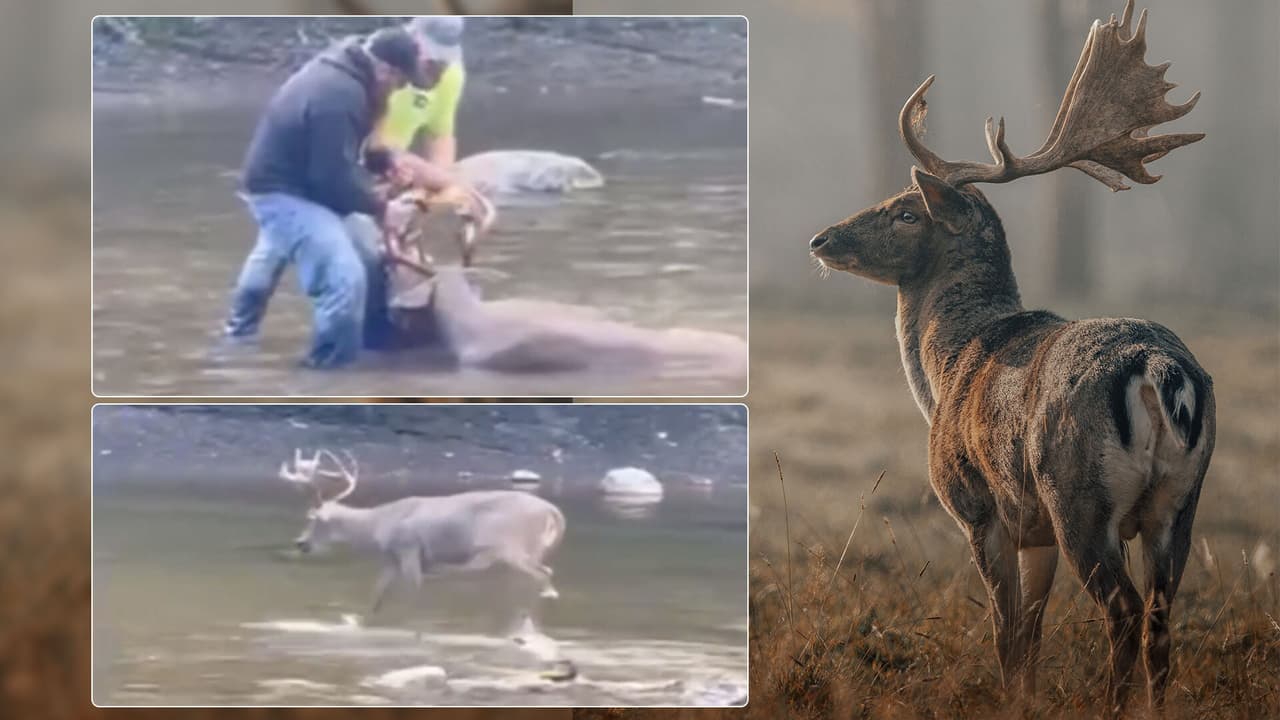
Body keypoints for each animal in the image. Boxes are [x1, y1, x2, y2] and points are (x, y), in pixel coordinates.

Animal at [277, 448, 566, 620]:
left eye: (313, 519)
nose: (300, 542)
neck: (380, 524)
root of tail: (553, 512)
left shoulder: (409, 551)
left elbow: (412, 598)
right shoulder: (391, 560)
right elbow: (375, 598)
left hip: (513, 547)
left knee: (543, 575)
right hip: (527, 552)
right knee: (542, 575)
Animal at [807, 2, 1214, 714]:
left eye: (907, 211)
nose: (822, 239)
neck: (947, 369)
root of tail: (1161, 371)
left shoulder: (981, 507)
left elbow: (1004, 631)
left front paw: (1008, 699)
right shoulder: (1036, 531)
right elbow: (1031, 631)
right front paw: (1024, 697)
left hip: (1078, 495)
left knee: (1124, 611)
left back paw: (1112, 704)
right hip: (1178, 503)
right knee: (1162, 620)